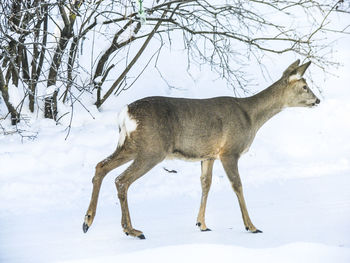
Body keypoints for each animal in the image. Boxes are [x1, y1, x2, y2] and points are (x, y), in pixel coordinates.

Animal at [82, 60, 320, 241]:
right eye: (305, 86)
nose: (317, 100)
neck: (251, 117)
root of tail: (125, 113)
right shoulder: (229, 151)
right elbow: (237, 185)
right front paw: (251, 226)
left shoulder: (209, 155)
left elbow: (206, 184)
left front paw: (202, 224)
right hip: (152, 150)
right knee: (121, 180)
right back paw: (132, 230)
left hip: (131, 145)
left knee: (101, 166)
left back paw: (88, 221)